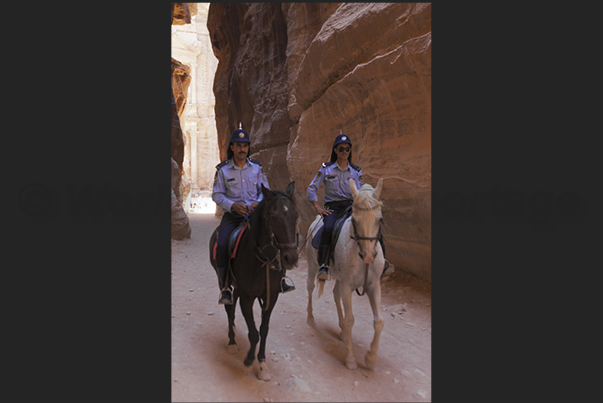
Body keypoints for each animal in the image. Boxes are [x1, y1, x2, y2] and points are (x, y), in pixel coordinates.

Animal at [210, 181, 300, 380]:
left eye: (296, 216)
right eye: (273, 217)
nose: (290, 258)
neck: (262, 260)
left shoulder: (271, 296)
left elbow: (264, 329)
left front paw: (262, 362)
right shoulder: (247, 298)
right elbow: (253, 333)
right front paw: (249, 359)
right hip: (223, 281)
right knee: (229, 308)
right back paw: (232, 342)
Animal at [306, 178, 386, 370]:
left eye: (379, 219)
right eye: (355, 220)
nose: (369, 256)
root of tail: (317, 219)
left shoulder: (373, 285)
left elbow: (379, 321)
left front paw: (371, 358)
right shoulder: (347, 285)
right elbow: (351, 319)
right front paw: (350, 359)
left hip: (340, 279)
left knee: (336, 295)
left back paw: (341, 330)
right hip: (313, 267)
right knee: (310, 288)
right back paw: (311, 317)